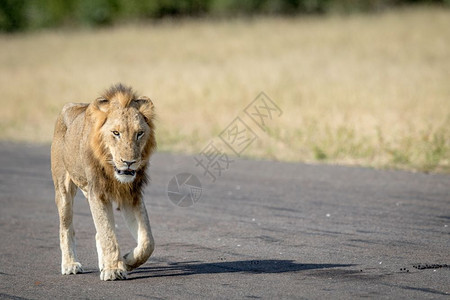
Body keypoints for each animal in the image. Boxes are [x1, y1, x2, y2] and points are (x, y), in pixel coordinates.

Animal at [50, 83, 156, 280]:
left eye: (139, 133)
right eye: (116, 133)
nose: (129, 162)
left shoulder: (132, 194)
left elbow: (147, 242)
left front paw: (126, 261)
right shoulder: (97, 192)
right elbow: (108, 233)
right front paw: (114, 269)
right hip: (63, 189)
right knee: (66, 228)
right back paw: (70, 264)